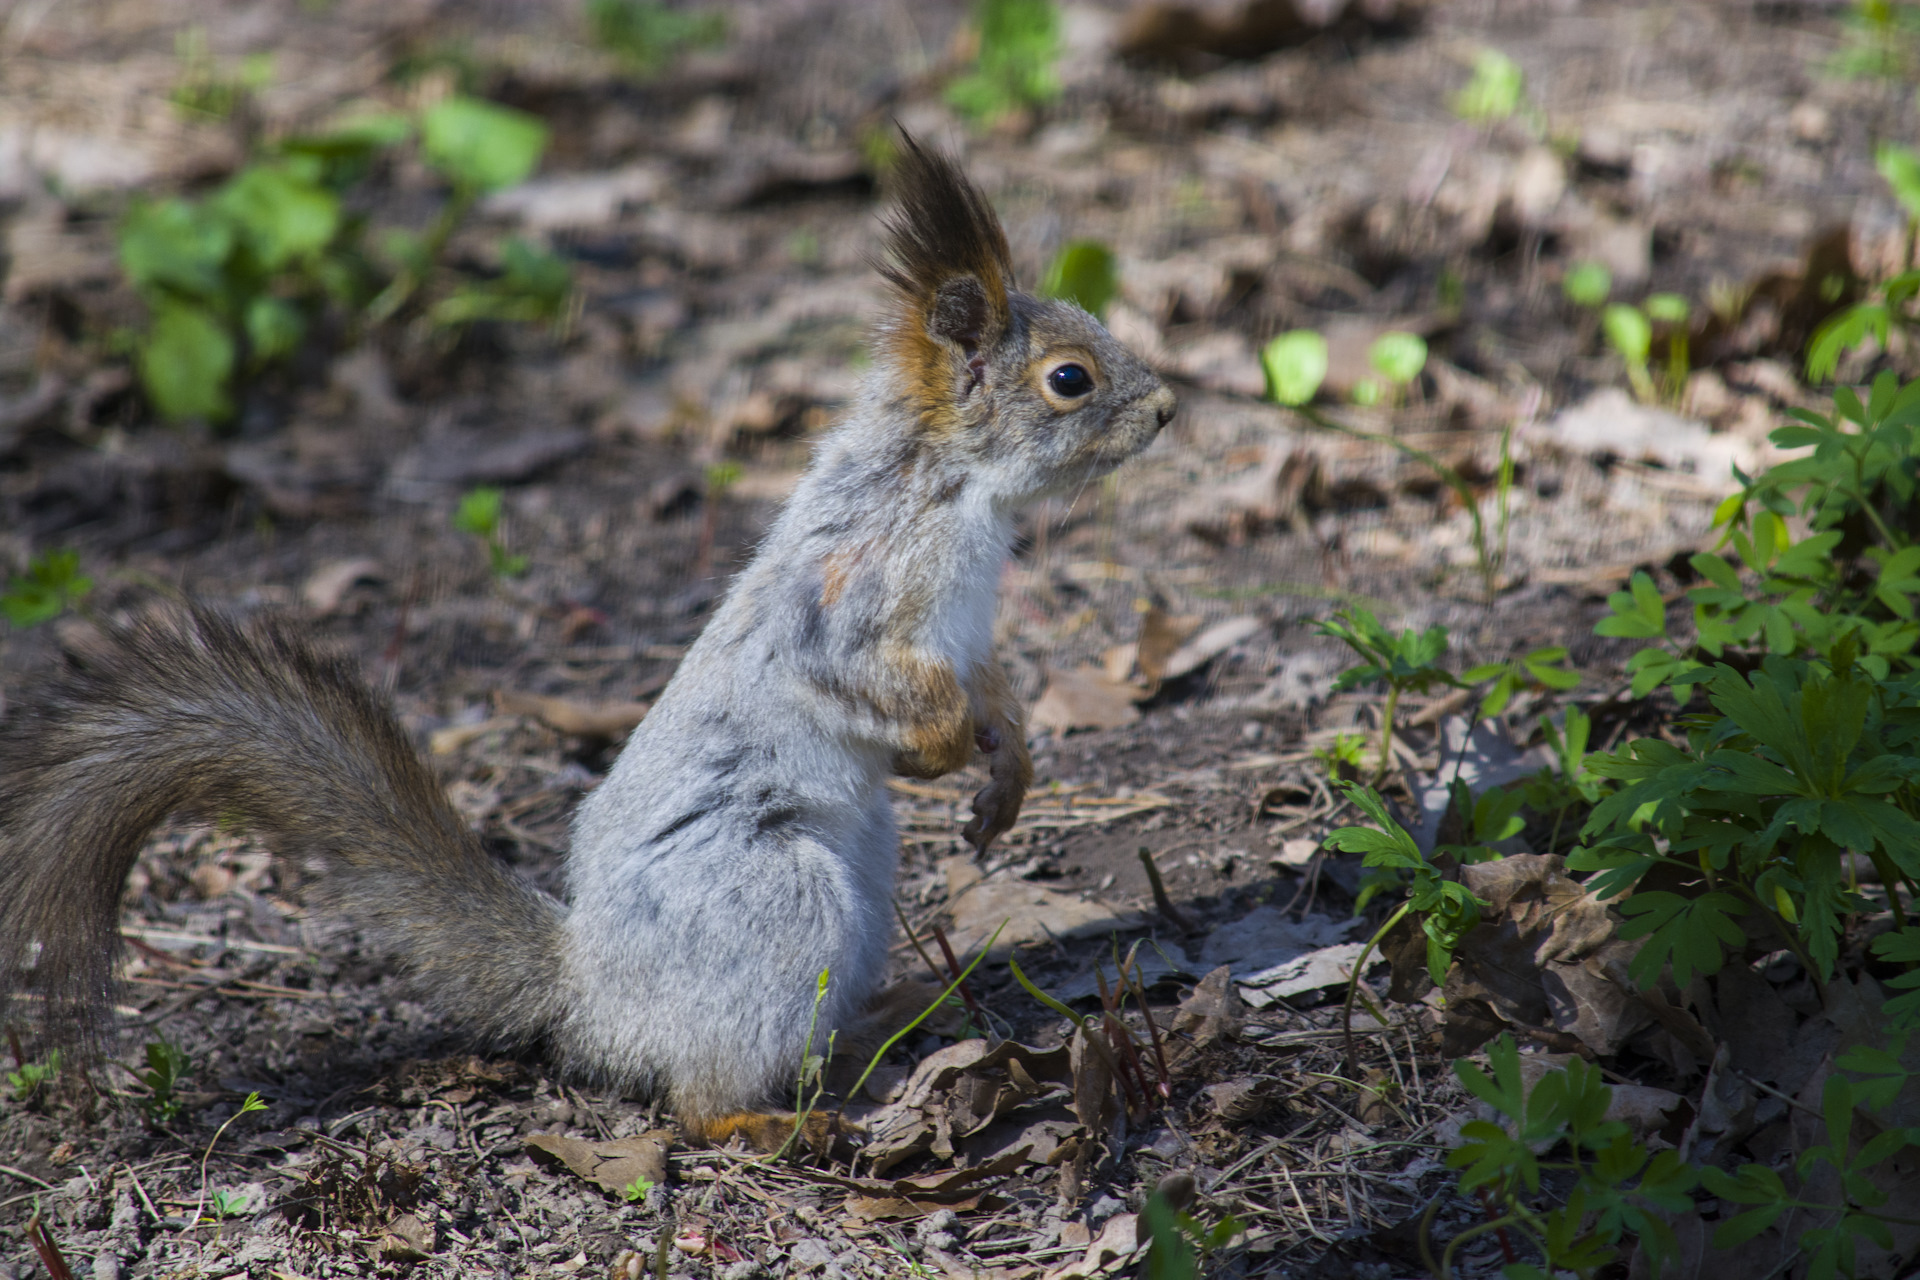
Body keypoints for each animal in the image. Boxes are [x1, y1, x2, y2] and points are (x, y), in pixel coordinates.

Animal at [0, 135, 1167, 1143]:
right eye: (1070, 378)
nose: (1165, 412)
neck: (959, 488)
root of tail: (597, 993)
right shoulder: (853, 601)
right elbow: (872, 680)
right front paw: (939, 749)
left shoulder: (966, 634)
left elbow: (994, 685)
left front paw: (1008, 767)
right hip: (777, 900)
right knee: (694, 1096)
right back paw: (766, 1118)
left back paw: (892, 1014)